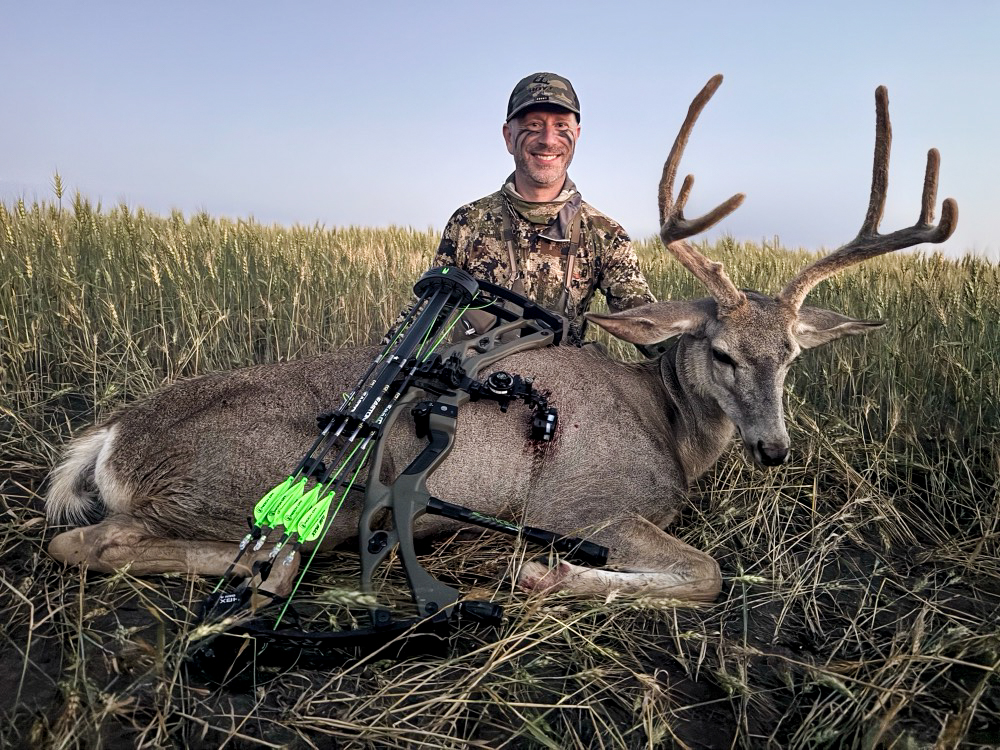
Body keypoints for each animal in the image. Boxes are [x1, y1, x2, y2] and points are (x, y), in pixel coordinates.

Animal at [44, 76, 957, 605]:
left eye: (792, 356)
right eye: (723, 352)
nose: (773, 447)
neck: (666, 426)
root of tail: (109, 442)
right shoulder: (581, 505)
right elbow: (705, 574)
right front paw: (545, 574)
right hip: (245, 488)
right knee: (88, 540)